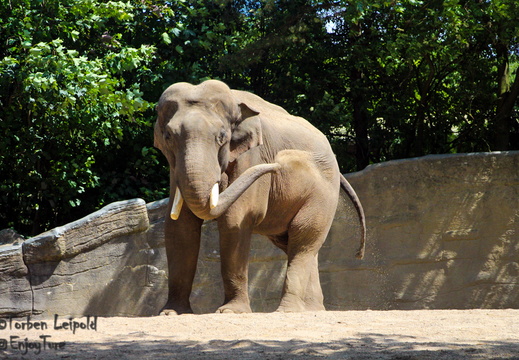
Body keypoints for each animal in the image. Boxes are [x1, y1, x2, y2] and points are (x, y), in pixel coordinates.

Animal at [153, 80, 366, 314]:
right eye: (168, 137)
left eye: (222, 137)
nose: (281, 162)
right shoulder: (174, 167)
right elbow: (179, 227)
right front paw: (171, 313)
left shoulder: (252, 156)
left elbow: (234, 221)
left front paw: (230, 311)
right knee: (300, 244)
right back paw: (312, 310)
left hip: (324, 192)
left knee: (303, 235)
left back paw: (287, 311)